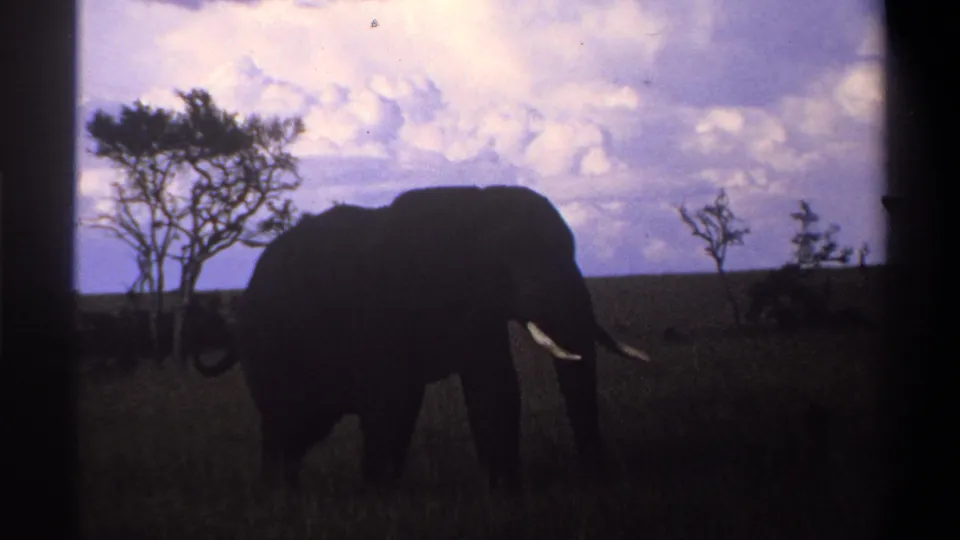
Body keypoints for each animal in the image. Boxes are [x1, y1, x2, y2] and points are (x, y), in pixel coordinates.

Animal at [195, 185, 650, 492]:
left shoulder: (477, 309)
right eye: (522, 264)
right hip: (270, 349)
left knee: (300, 429)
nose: (597, 480)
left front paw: (504, 491)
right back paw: (281, 495)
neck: (477, 210)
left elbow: (495, 387)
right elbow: (391, 400)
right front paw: (379, 496)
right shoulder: (392, 309)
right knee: (287, 423)